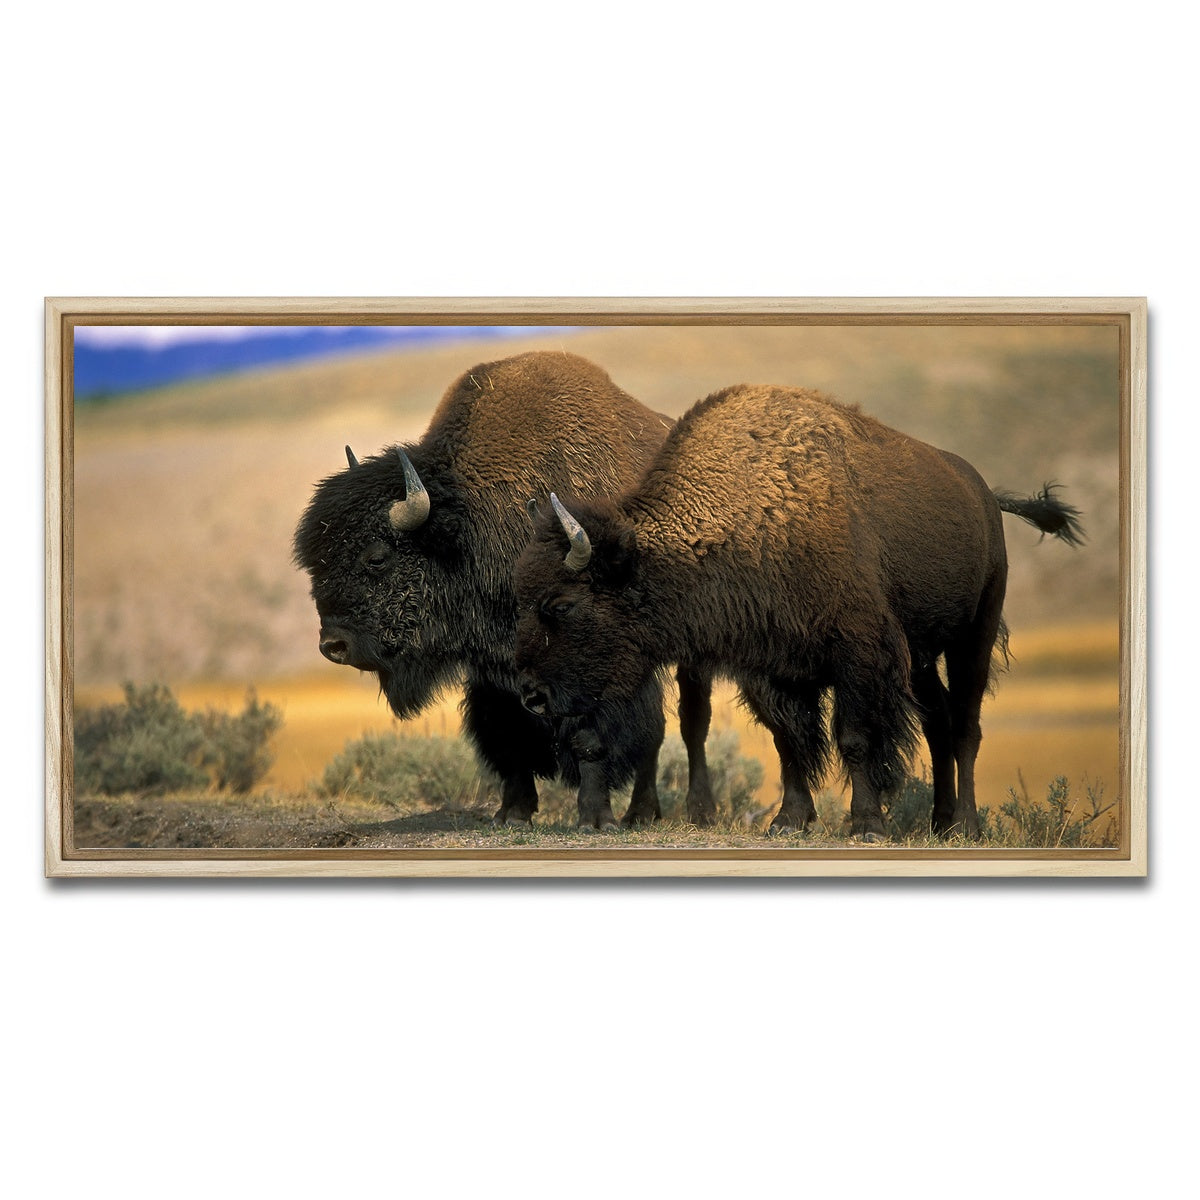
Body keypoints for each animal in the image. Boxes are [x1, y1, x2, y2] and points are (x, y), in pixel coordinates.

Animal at [293, 351, 674, 829]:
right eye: (314, 563)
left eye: (377, 557)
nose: (333, 645)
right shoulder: (492, 671)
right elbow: (507, 735)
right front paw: (512, 813)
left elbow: (592, 736)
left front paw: (595, 818)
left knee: (656, 735)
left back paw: (641, 814)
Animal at [514, 383, 1083, 840]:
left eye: (561, 604)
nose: (531, 695)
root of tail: (983, 493)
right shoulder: (773, 669)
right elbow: (790, 741)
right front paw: (787, 821)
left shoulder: (859, 655)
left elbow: (854, 738)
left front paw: (866, 825)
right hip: (921, 656)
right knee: (939, 721)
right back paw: (939, 824)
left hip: (973, 636)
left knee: (965, 725)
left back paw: (965, 824)